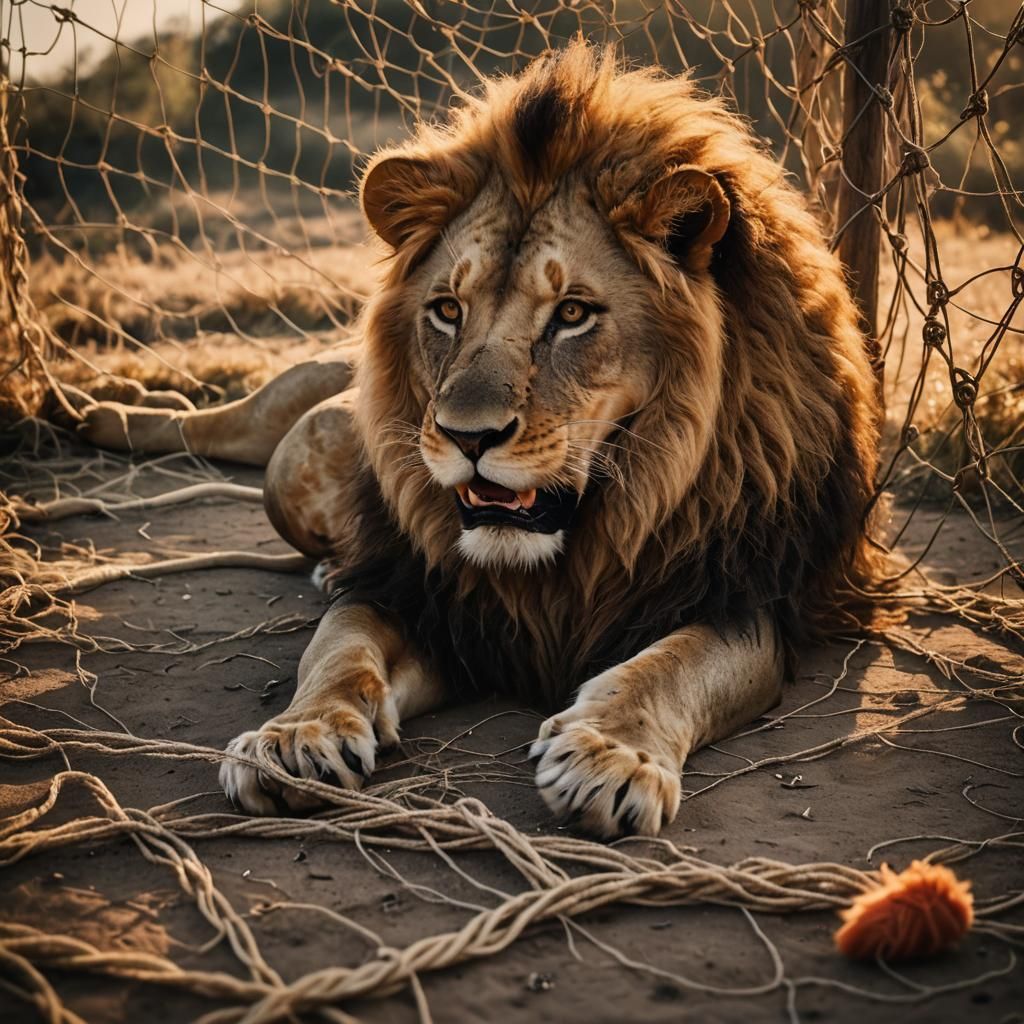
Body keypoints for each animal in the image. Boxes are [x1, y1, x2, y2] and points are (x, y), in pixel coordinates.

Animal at [79, 43, 880, 838]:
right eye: (447, 309)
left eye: (573, 314)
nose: (467, 437)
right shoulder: (425, 593)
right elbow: (337, 651)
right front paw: (295, 738)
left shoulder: (745, 595)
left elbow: (668, 666)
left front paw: (608, 755)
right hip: (292, 457)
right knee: (225, 422)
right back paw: (103, 412)